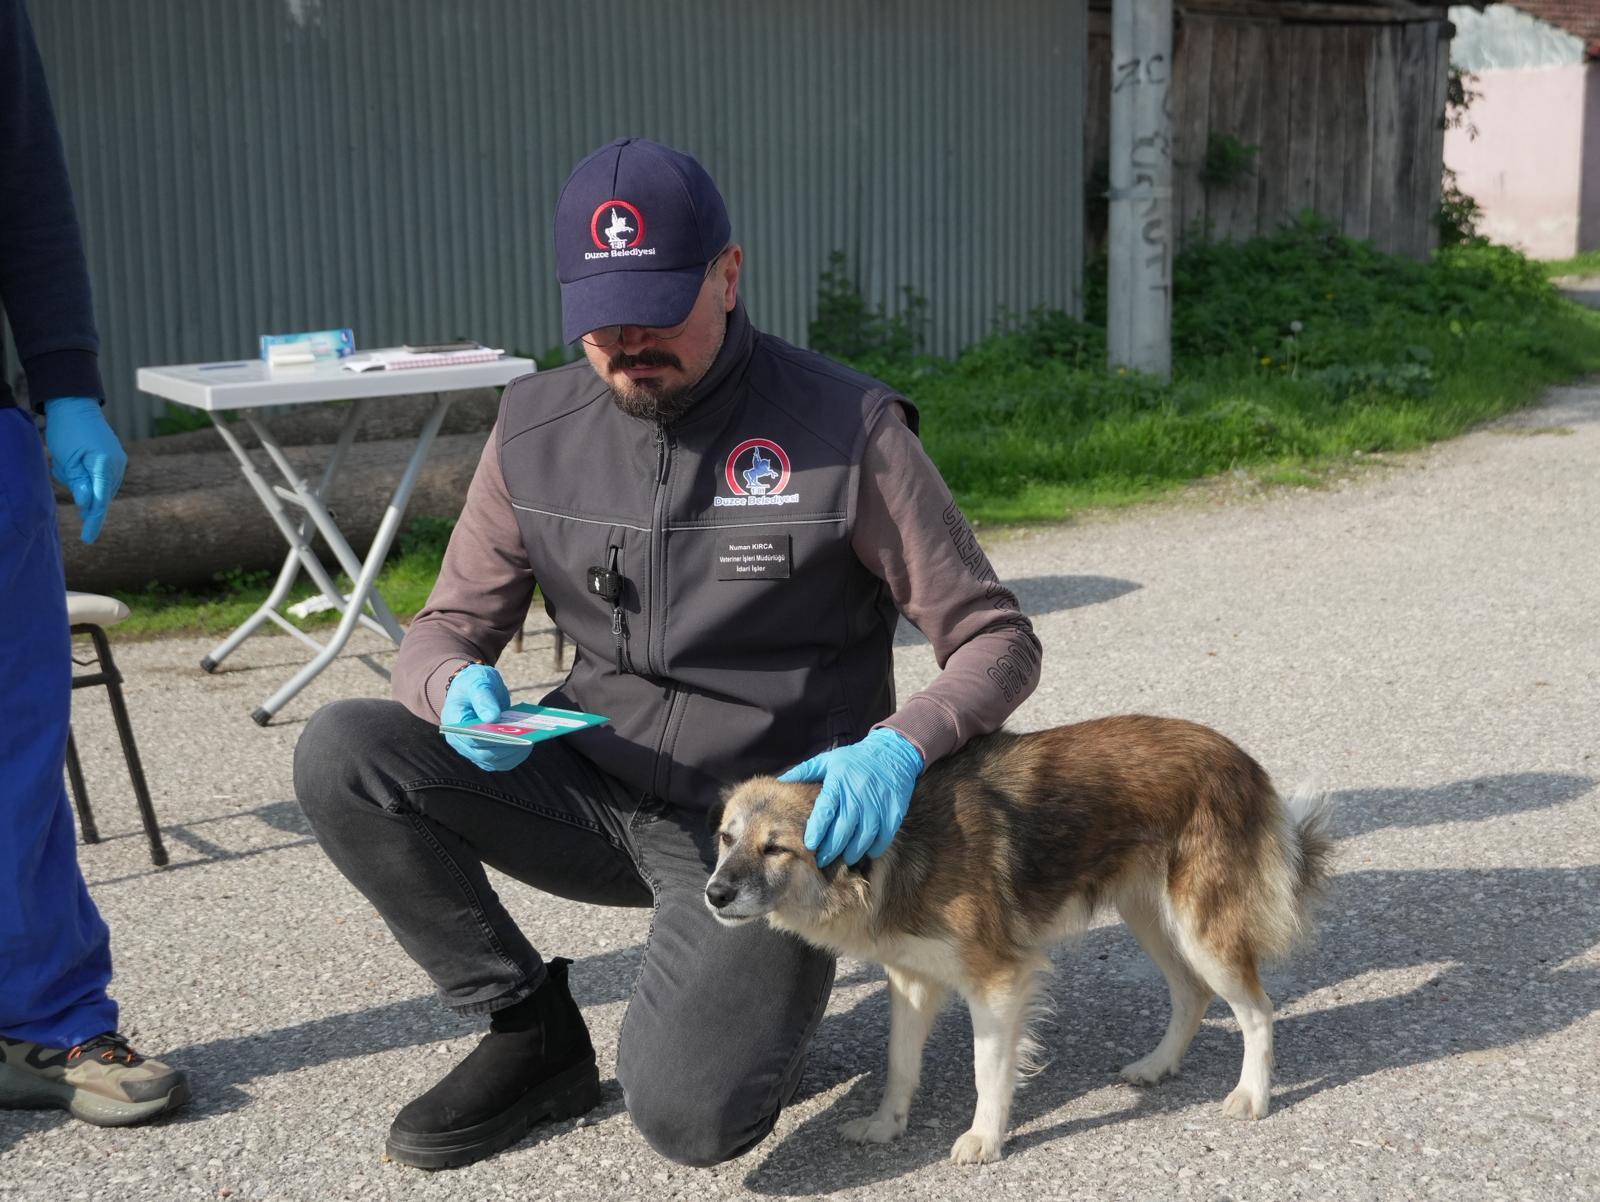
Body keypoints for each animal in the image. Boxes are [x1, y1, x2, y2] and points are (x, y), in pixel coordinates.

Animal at [705, 715, 1332, 1165]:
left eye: (775, 848)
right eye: (726, 838)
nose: (714, 894)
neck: (897, 849)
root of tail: (1241, 760)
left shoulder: (998, 980)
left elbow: (989, 1069)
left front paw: (985, 1138)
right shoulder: (911, 979)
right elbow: (900, 1062)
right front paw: (887, 1125)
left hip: (1202, 926)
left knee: (1258, 1010)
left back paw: (1253, 1095)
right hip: (1149, 916)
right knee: (1191, 993)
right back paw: (1158, 1065)